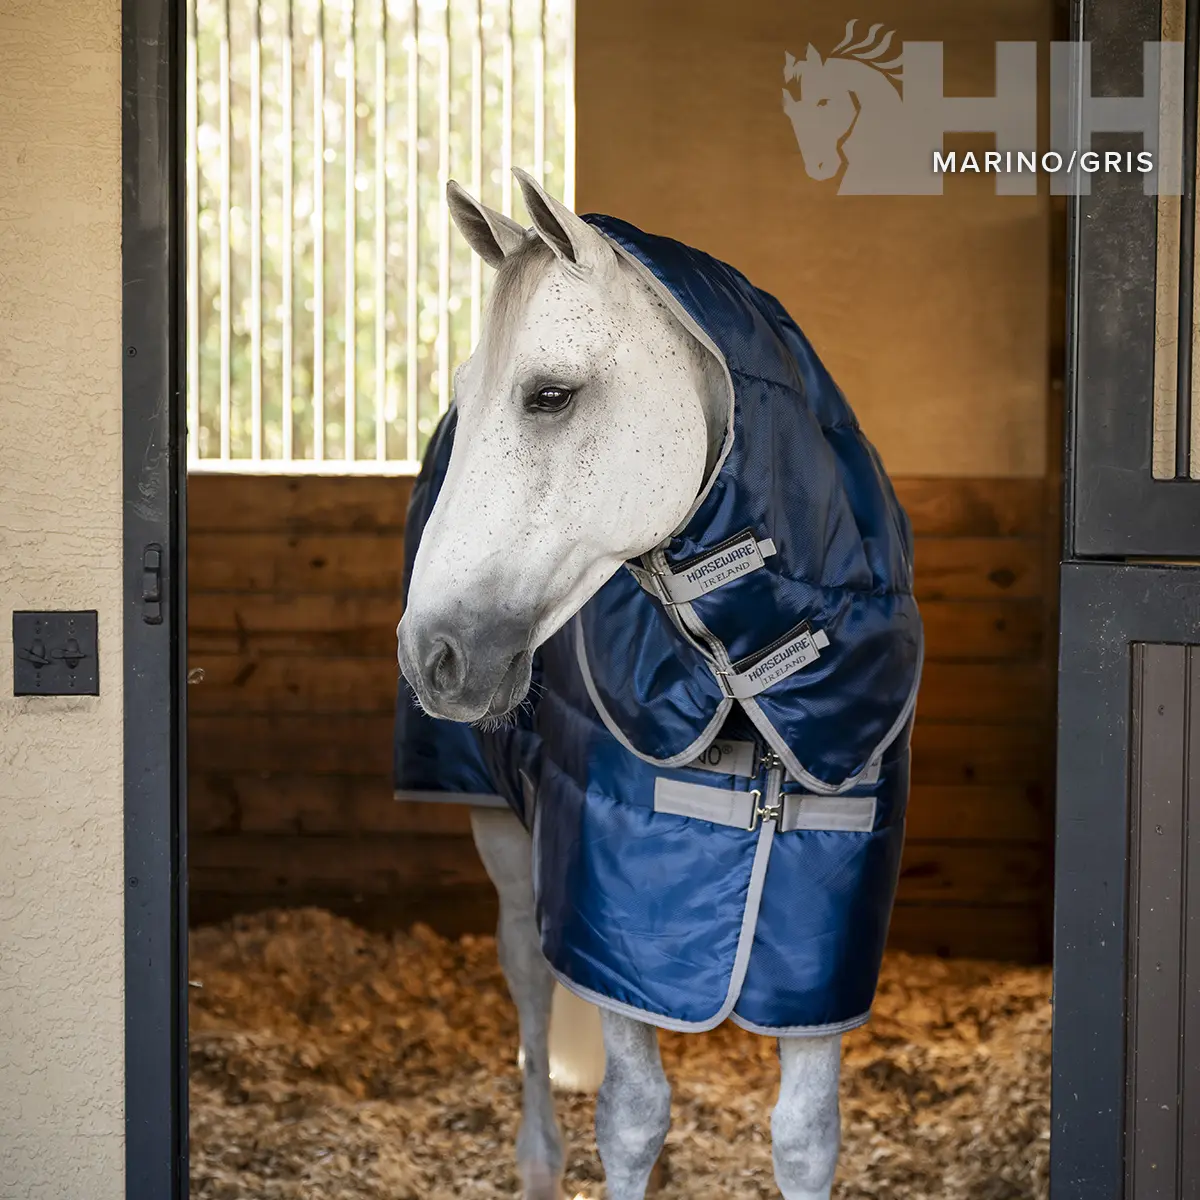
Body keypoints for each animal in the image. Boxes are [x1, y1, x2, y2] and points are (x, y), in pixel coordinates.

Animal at [396, 168, 920, 1200]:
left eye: (550, 395)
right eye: (469, 399)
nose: (431, 653)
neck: (751, 674)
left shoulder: (822, 949)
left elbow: (807, 1135)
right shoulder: (615, 923)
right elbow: (633, 1117)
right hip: (502, 829)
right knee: (529, 981)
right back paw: (538, 1163)